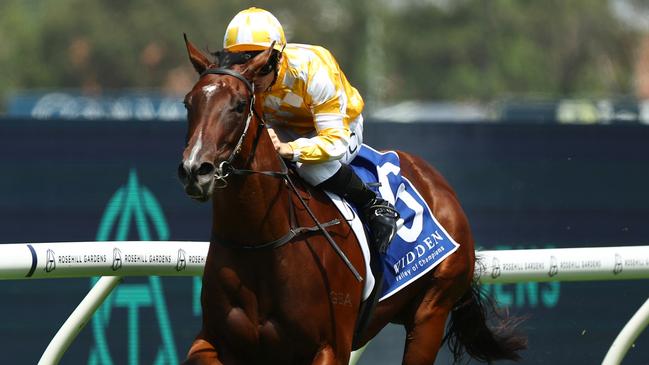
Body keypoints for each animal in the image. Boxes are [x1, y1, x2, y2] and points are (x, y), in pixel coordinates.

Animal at [178, 37, 528, 364]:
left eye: (239, 105)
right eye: (188, 102)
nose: (196, 169)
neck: (261, 243)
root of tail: (438, 184)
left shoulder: (330, 346)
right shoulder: (214, 341)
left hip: (431, 310)